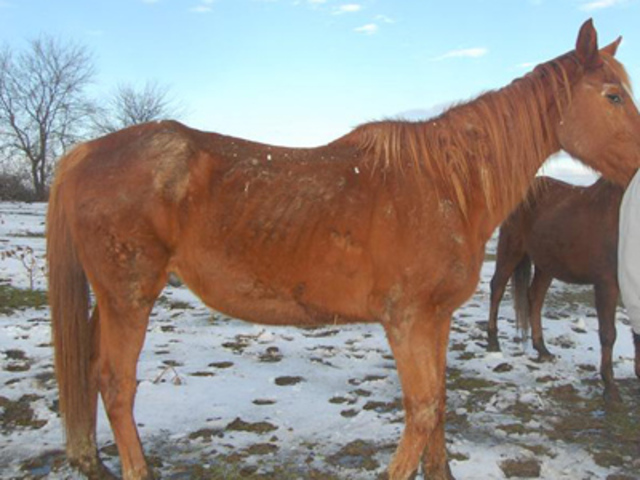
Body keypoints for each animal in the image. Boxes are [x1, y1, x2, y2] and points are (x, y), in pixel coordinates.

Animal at [486, 175, 640, 404]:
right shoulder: (606, 283)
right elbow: (608, 334)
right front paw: (610, 388)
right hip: (511, 247)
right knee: (497, 287)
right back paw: (493, 341)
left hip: (546, 264)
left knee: (535, 298)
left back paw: (542, 349)